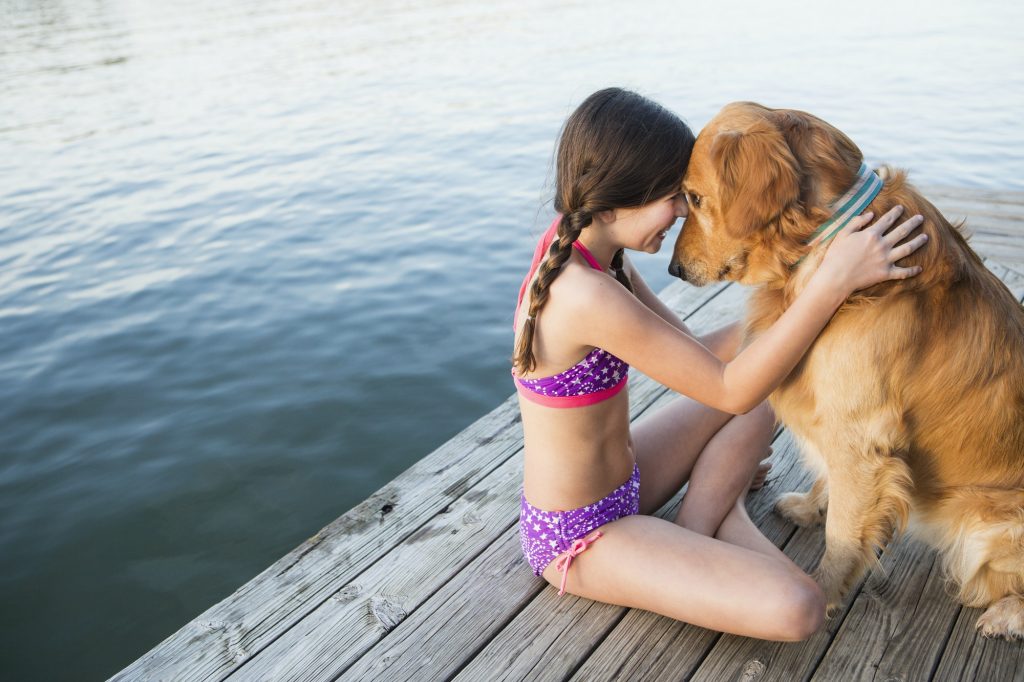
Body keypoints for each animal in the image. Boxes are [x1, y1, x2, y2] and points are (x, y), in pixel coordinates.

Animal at [667, 100, 1024, 638]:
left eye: (694, 197)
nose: (673, 269)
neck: (822, 241)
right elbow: (834, 489)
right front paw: (809, 506)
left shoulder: (862, 434)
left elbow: (843, 533)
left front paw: (823, 593)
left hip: (989, 526)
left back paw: (1007, 614)